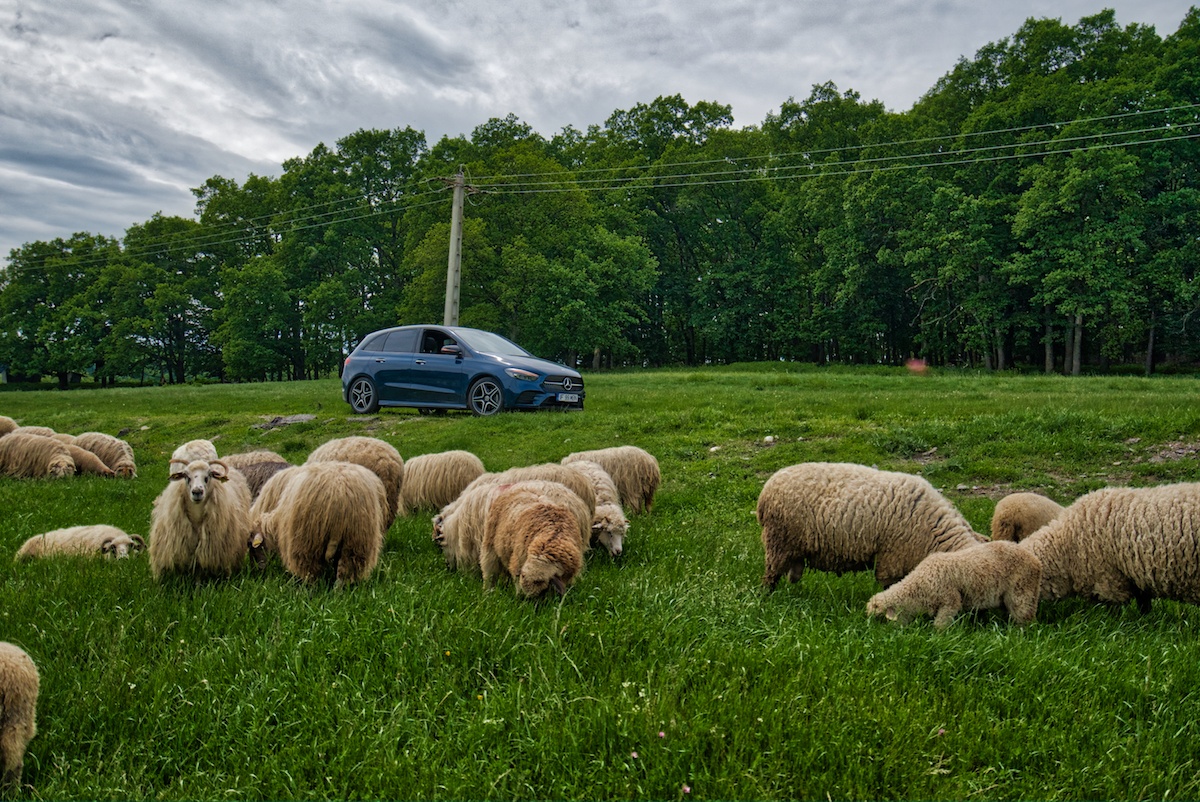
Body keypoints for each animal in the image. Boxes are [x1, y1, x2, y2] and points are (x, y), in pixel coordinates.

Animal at [250, 461, 386, 585]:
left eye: (251, 545)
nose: (258, 570)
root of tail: (340, 495)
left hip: (308, 540)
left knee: (311, 571)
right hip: (356, 540)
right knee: (345, 571)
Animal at [753, 463, 988, 588]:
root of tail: (767, 487)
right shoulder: (892, 557)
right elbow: (889, 585)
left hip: (794, 546)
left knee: (793, 572)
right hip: (778, 540)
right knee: (771, 575)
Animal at [864, 542, 1041, 629]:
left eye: (879, 619)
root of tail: (1035, 559)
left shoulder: (950, 600)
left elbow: (940, 624)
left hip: (1023, 590)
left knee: (1024, 615)